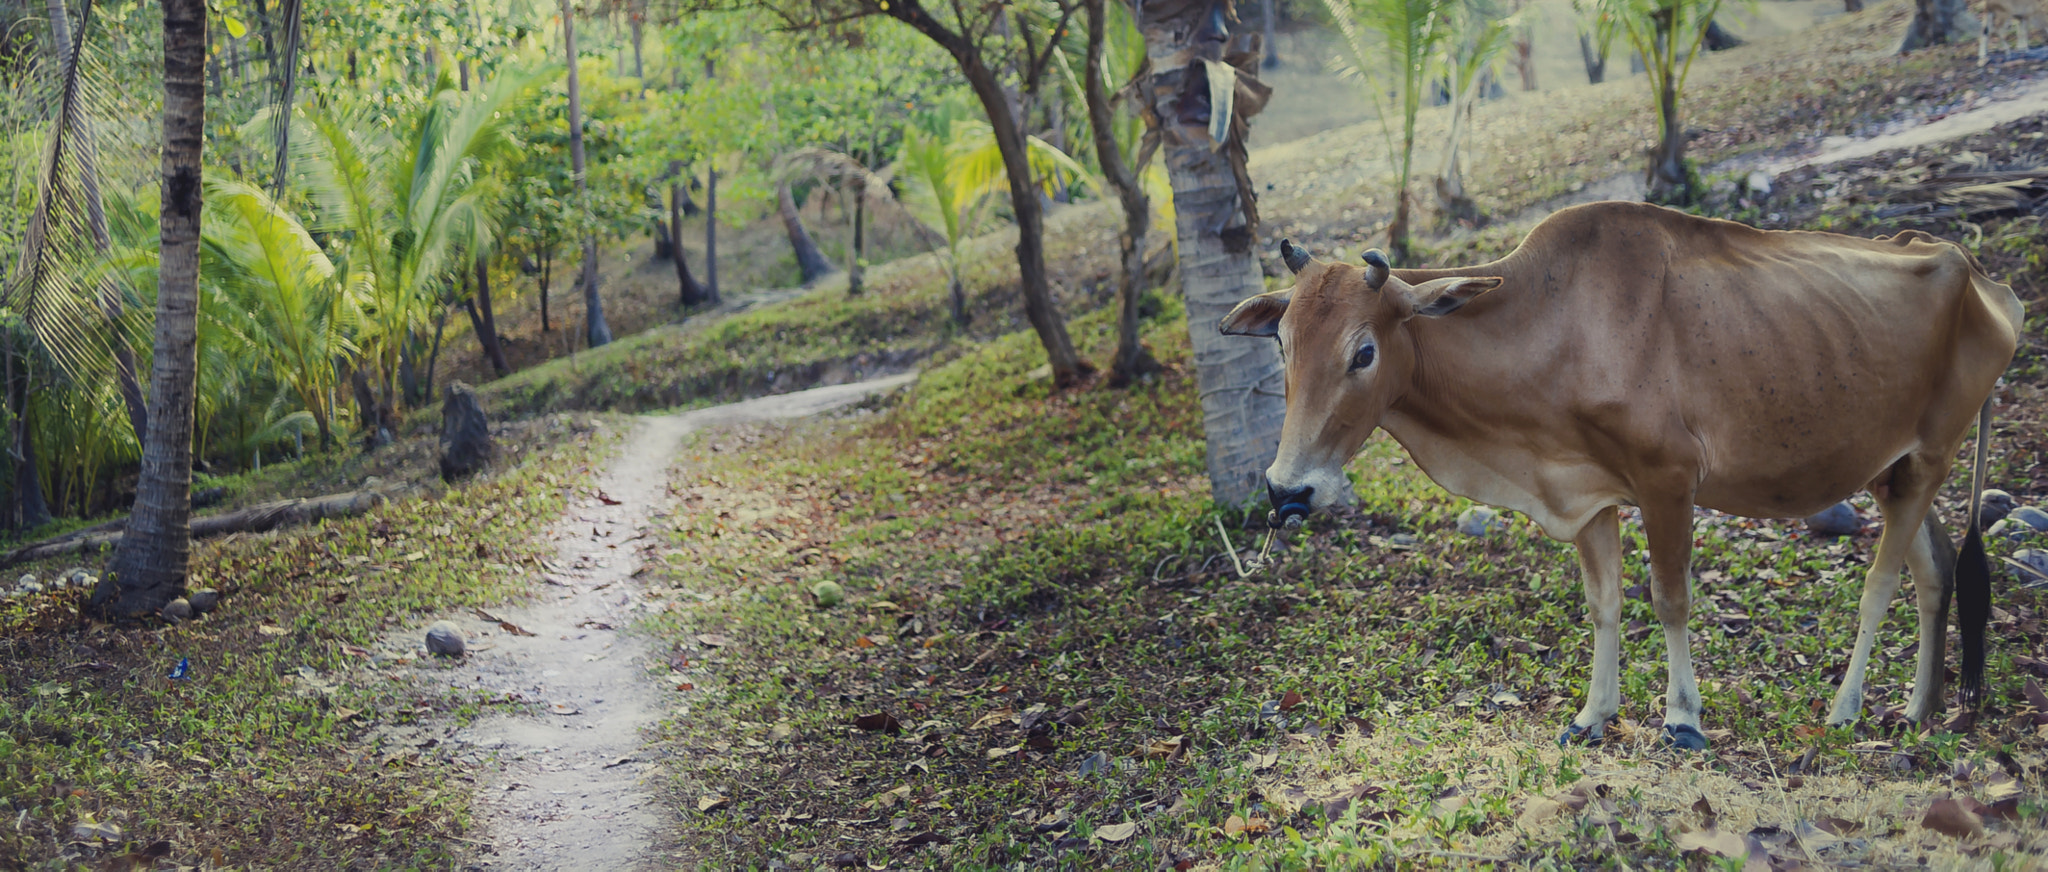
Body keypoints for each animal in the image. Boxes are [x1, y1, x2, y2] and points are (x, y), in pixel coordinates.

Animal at [1220, 200, 2023, 745]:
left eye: (1364, 351)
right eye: (1283, 343)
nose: (1288, 489)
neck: (1551, 325)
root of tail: (1976, 270)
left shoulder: (1668, 481)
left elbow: (1669, 599)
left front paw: (1683, 717)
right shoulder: (1587, 492)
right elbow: (1603, 603)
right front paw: (1593, 714)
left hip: (1930, 457)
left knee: (1880, 586)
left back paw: (1847, 709)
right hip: (1891, 468)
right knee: (1935, 568)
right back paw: (1919, 708)